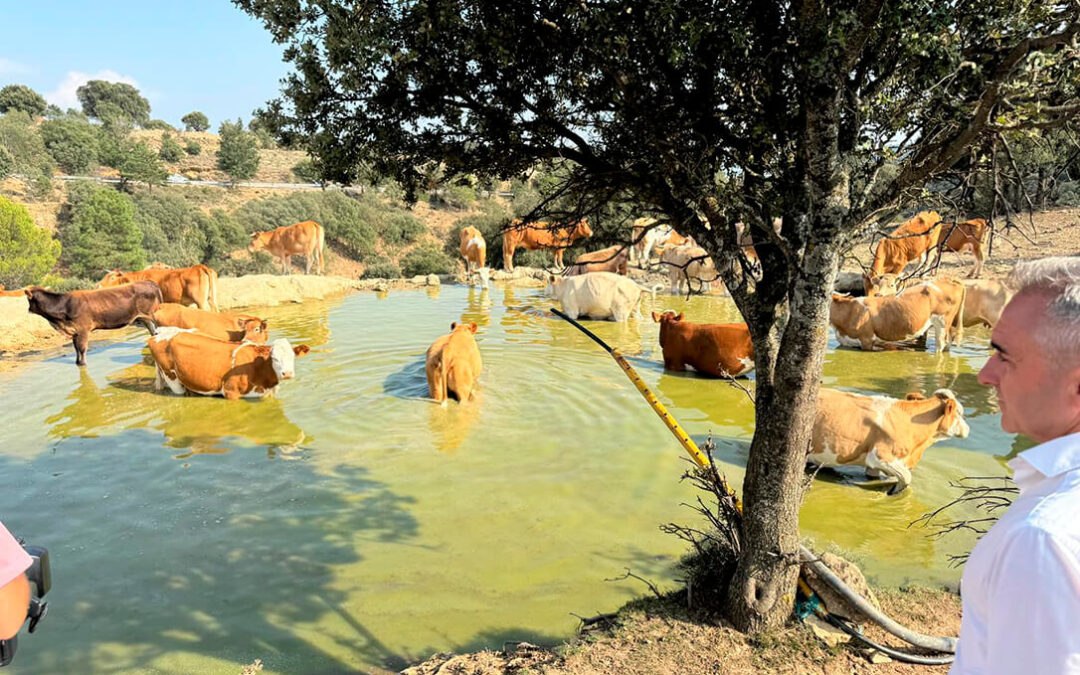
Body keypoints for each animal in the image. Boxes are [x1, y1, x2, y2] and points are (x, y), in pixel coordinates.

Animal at [26, 278, 162, 362]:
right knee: (152, 331)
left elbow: (82, 349)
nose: (28, 310)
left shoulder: (83, 330)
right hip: (144, 317)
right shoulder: (74, 332)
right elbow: (76, 349)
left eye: (29, 300)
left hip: (153, 314)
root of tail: (148, 282)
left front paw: (82, 365)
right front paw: (77, 362)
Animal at [147, 326, 311, 399]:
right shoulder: (230, 392)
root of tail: (160, 333)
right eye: (274, 358)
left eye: (292, 356)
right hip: (172, 379)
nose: (287, 373)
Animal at [812, 386, 972, 492]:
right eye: (959, 412)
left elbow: (874, 478)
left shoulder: (873, 466)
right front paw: (894, 492)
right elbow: (906, 477)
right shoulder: (879, 456)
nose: (968, 429)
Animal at [829, 278, 967, 352]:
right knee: (949, 341)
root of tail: (952, 280)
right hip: (947, 323)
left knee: (941, 344)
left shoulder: (867, 340)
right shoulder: (847, 343)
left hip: (942, 322)